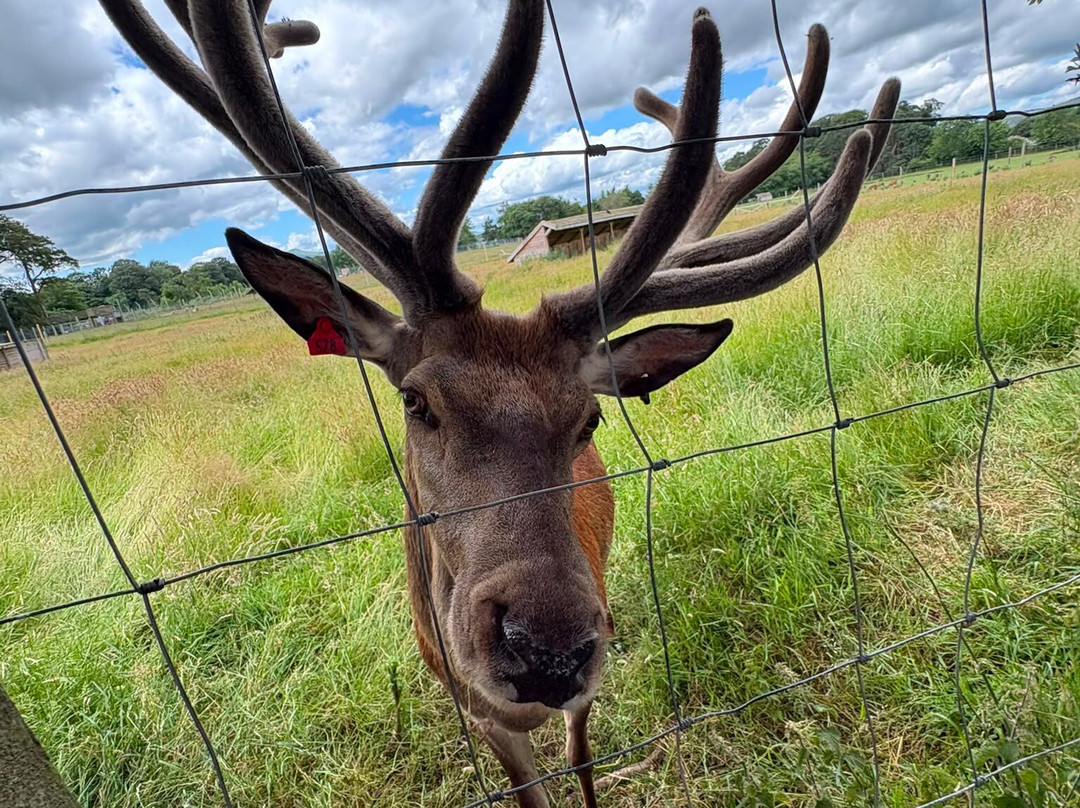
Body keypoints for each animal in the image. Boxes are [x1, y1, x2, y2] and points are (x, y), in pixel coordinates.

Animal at [100, 1, 899, 805]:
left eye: (589, 419)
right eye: (415, 401)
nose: (547, 652)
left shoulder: (592, 667)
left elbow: (581, 760)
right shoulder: (472, 707)